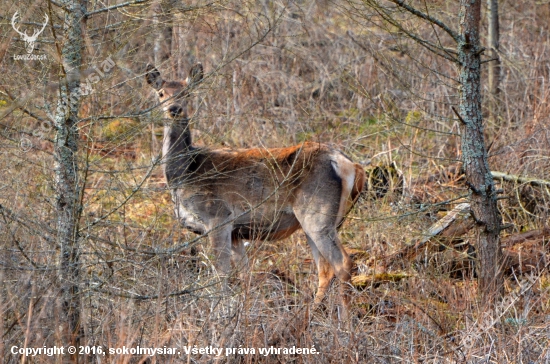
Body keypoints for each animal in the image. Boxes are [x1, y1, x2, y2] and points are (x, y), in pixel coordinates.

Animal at [147, 63, 368, 316]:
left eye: (188, 93)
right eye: (161, 93)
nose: (174, 109)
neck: (185, 175)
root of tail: (350, 165)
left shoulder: (218, 217)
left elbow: (221, 273)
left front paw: (218, 313)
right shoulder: (236, 232)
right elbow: (244, 274)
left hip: (317, 212)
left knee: (343, 263)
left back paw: (344, 320)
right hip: (318, 221)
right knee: (325, 269)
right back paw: (311, 314)